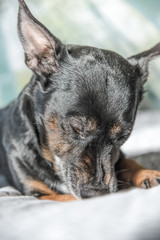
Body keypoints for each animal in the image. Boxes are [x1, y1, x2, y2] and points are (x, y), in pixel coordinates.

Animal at [0, 0, 160, 201]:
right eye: (76, 128)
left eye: (123, 136)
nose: (98, 193)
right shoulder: (38, 195)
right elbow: (68, 198)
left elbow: (126, 161)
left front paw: (147, 173)